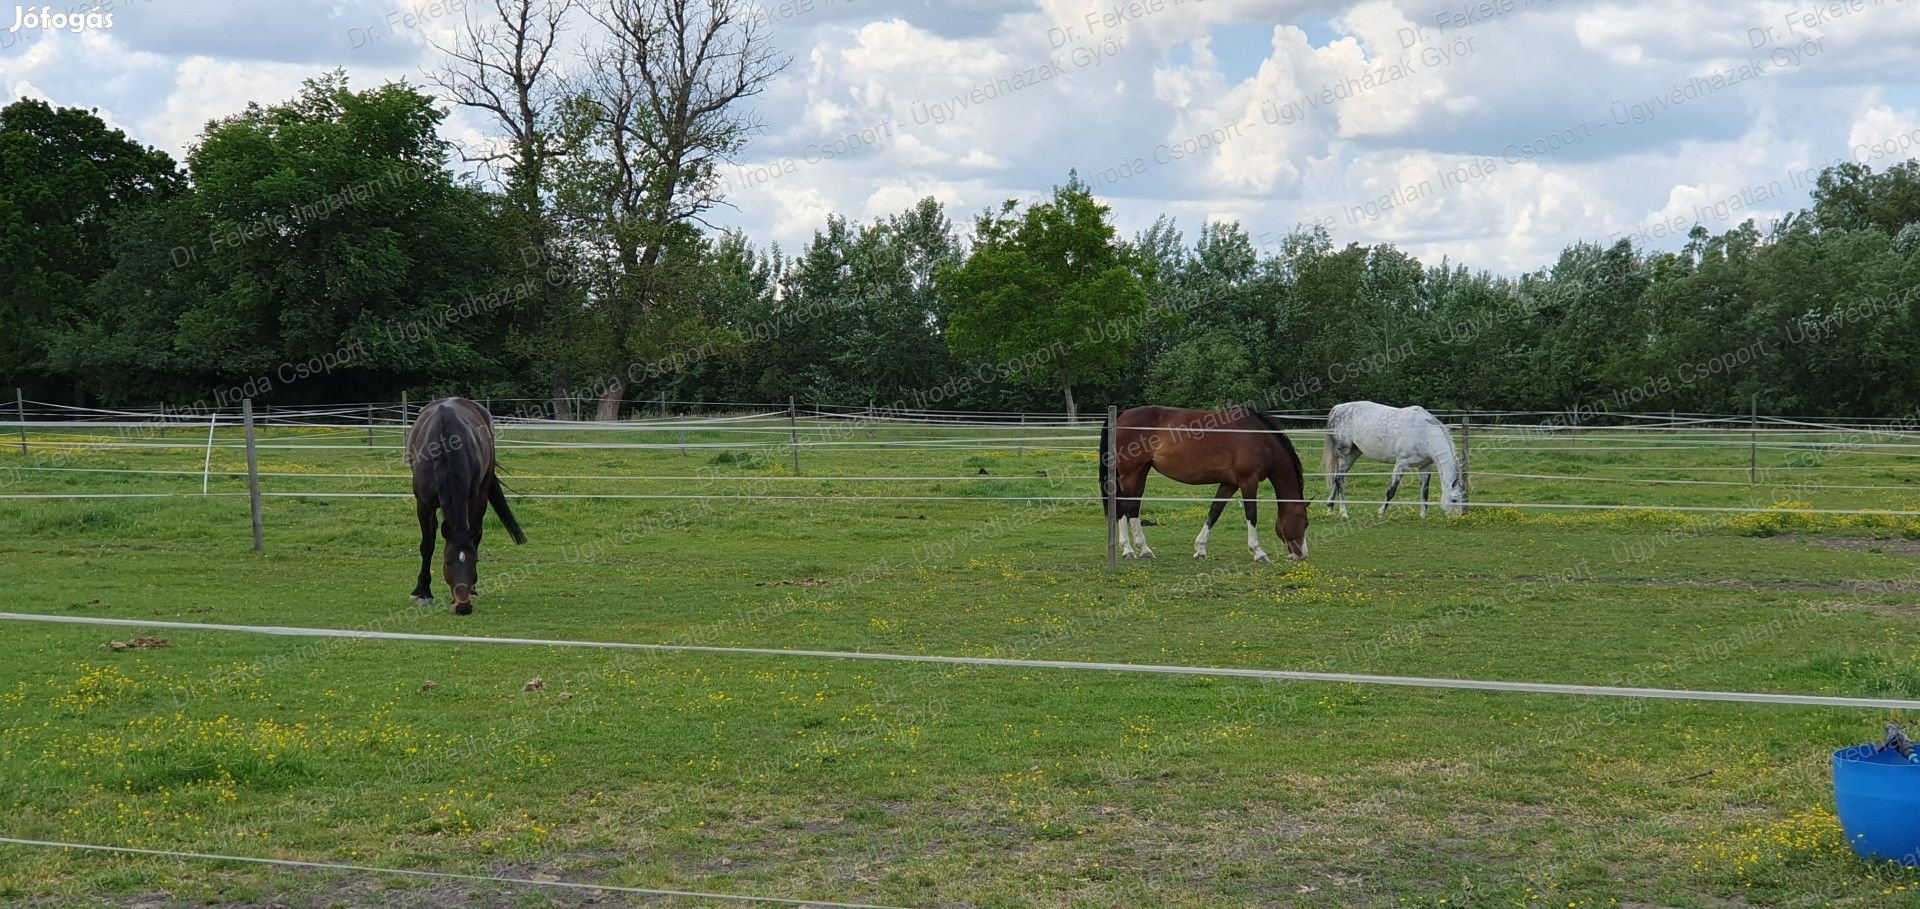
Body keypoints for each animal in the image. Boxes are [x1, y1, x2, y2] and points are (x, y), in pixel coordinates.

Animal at [405, 395, 526, 611]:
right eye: (447, 562)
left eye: (474, 561)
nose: (463, 606)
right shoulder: (423, 504)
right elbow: (427, 545)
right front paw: (422, 592)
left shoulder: (473, 499)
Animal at [1105, 403, 1313, 561]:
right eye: (1305, 522)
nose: (1302, 555)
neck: (1259, 438)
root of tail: (1121, 415)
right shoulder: (1248, 481)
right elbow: (1251, 514)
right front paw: (1258, 552)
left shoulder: (1229, 484)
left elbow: (1214, 512)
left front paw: (1200, 548)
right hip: (1130, 474)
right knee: (1122, 507)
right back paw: (1128, 550)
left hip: (1141, 472)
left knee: (1133, 507)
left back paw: (1145, 549)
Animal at [1320, 397, 1466, 518]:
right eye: (1454, 500)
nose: (1458, 518)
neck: (1424, 433)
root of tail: (1337, 408)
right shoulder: (1401, 464)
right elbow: (1391, 491)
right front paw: (1381, 513)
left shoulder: (1424, 467)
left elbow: (1425, 492)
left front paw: (1424, 516)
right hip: (1344, 455)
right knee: (1339, 480)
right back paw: (1344, 512)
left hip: (1352, 455)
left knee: (1337, 479)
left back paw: (1330, 508)